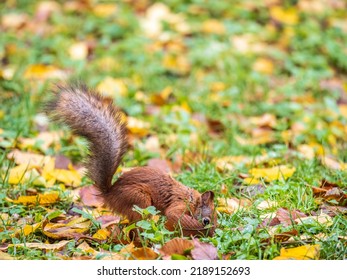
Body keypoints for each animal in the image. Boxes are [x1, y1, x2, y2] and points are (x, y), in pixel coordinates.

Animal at [46, 83, 218, 236]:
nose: (212, 234)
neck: (192, 201)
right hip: (139, 200)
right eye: (207, 220)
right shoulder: (179, 206)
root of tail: (110, 193)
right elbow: (174, 214)